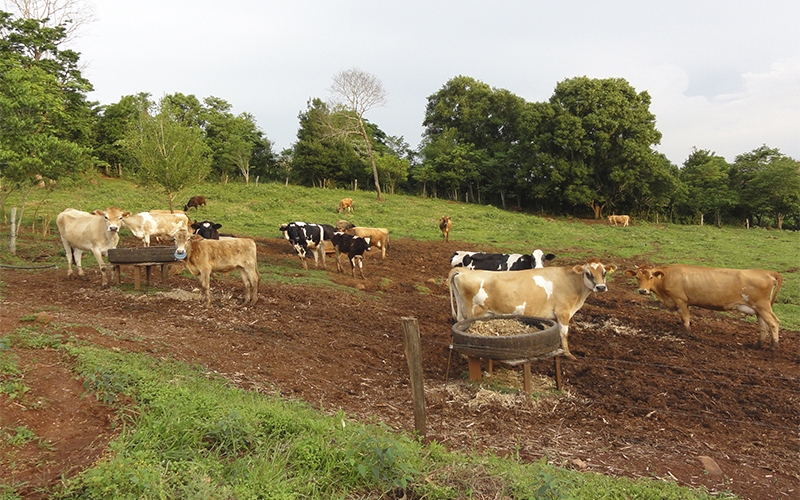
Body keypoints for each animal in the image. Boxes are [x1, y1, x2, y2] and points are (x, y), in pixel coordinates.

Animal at [450, 258, 620, 360]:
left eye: (604, 272)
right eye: (588, 273)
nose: (601, 287)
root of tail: (463, 271)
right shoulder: (563, 312)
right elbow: (563, 333)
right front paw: (569, 354)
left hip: (462, 311)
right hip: (474, 313)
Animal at [624, 264, 780, 350]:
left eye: (651, 277)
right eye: (637, 277)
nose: (642, 291)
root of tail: (767, 272)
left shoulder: (681, 301)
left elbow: (685, 318)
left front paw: (688, 334)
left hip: (763, 306)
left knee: (773, 322)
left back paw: (773, 346)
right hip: (758, 310)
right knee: (763, 326)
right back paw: (758, 345)